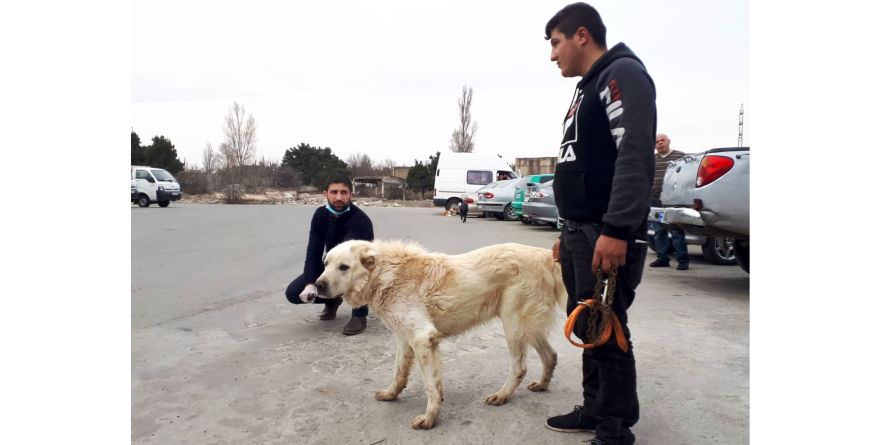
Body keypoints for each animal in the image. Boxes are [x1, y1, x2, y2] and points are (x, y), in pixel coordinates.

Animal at [318, 239, 568, 430]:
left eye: (344, 267)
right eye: (326, 263)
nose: (318, 285)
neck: (384, 273)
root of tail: (545, 255)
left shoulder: (422, 338)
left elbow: (430, 386)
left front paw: (430, 418)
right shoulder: (406, 339)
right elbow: (400, 374)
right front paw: (391, 395)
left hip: (513, 324)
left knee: (520, 367)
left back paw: (502, 395)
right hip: (528, 327)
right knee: (551, 355)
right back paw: (542, 385)